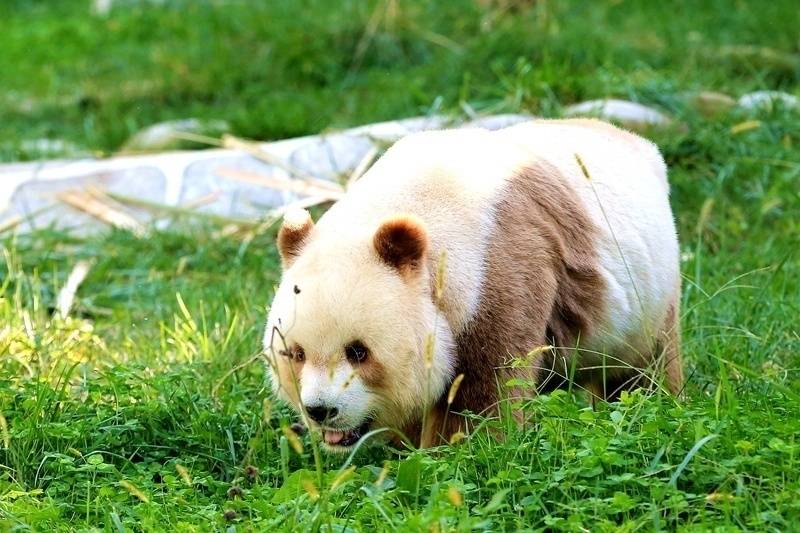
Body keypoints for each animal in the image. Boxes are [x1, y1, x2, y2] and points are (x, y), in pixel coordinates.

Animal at [264, 118, 680, 450]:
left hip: (648, 293)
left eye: (358, 351)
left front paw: (464, 449)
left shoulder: (495, 269)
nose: (321, 410)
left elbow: (487, 387)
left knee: (642, 366)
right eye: (296, 353)